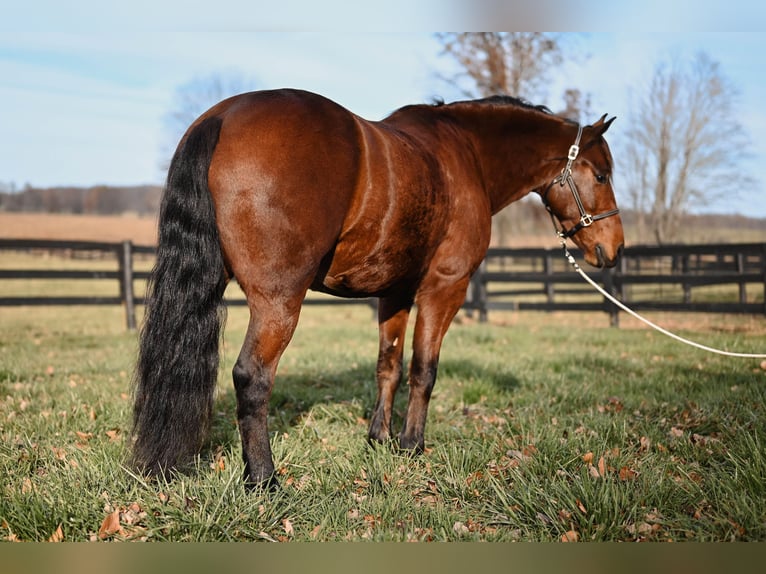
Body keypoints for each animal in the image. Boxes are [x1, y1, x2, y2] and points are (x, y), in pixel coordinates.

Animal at [130, 90, 624, 490]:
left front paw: (378, 437)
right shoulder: (445, 287)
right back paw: (264, 479)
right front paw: (412, 444)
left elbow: (389, 366)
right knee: (252, 378)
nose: (614, 247)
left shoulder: (395, 292)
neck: (467, 154)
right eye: (601, 175)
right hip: (278, 303)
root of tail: (224, 115)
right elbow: (424, 369)